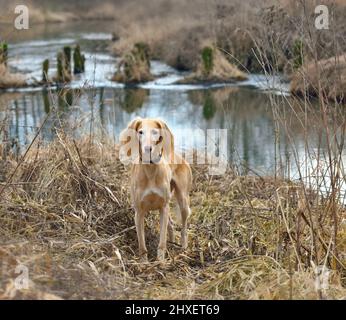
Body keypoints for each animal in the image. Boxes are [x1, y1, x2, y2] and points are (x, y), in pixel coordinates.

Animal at [119, 117, 192, 262]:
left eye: (154, 132)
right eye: (140, 132)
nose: (148, 149)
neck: (151, 170)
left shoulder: (163, 208)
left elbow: (162, 241)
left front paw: (161, 261)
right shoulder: (139, 212)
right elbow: (142, 244)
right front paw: (144, 262)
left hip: (182, 201)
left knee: (184, 227)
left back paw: (183, 247)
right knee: (170, 225)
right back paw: (172, 241)